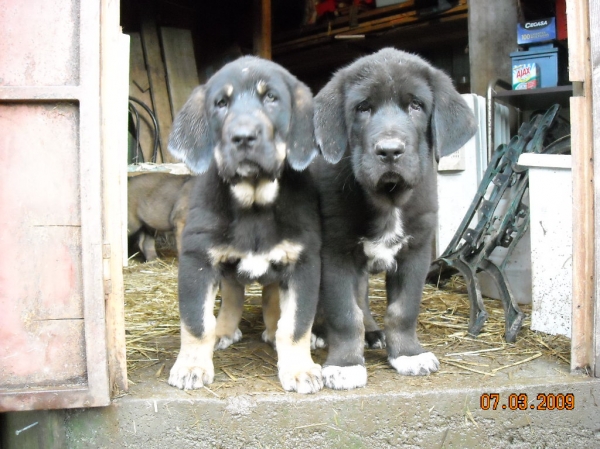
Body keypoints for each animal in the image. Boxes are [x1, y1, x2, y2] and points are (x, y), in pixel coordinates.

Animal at [164, 55, 324, 392]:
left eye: (272, 98)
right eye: (221, 103)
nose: (243, 137)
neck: (253, 203)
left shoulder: (303, 262)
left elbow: (295, 325)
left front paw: (299, 369)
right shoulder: (197, 260)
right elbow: (197, 323)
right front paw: (191, 366)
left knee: (271, 297)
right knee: (232, 293)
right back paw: (223, 330)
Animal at [312, 46, 476, 388]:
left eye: (416, 105)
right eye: (362, 108)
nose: (389, 150)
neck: (388, 198)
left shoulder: (416, 251)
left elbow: (403, 309)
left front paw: (408, 354)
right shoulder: (335, 252)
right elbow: (344, 312)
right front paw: (345, 364)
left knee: (362, 297)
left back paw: (373, 333)